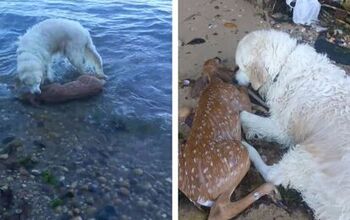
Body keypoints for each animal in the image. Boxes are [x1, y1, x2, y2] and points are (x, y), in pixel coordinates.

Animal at [235, 29, 350, 220]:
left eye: (240, 66)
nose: (233, 79)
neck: (284, 64)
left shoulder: (281, 128)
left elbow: (245, 115)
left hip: (306, 155)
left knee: (273, 176)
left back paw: (247, 148)